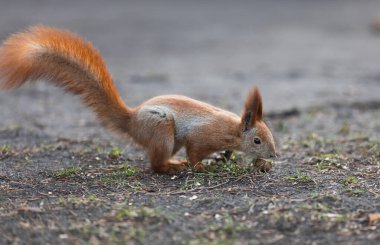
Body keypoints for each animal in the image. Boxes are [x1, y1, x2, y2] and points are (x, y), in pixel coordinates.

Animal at [0, 25, 274, 173]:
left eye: (270, 133)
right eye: (257, 140)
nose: (272, 156)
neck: (233, 130)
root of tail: (131, 120)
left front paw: (224, 157)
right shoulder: (202, 136)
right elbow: (195, 153)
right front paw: (201, 166)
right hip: (161, 130)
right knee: (155, 165)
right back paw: (172, 166)